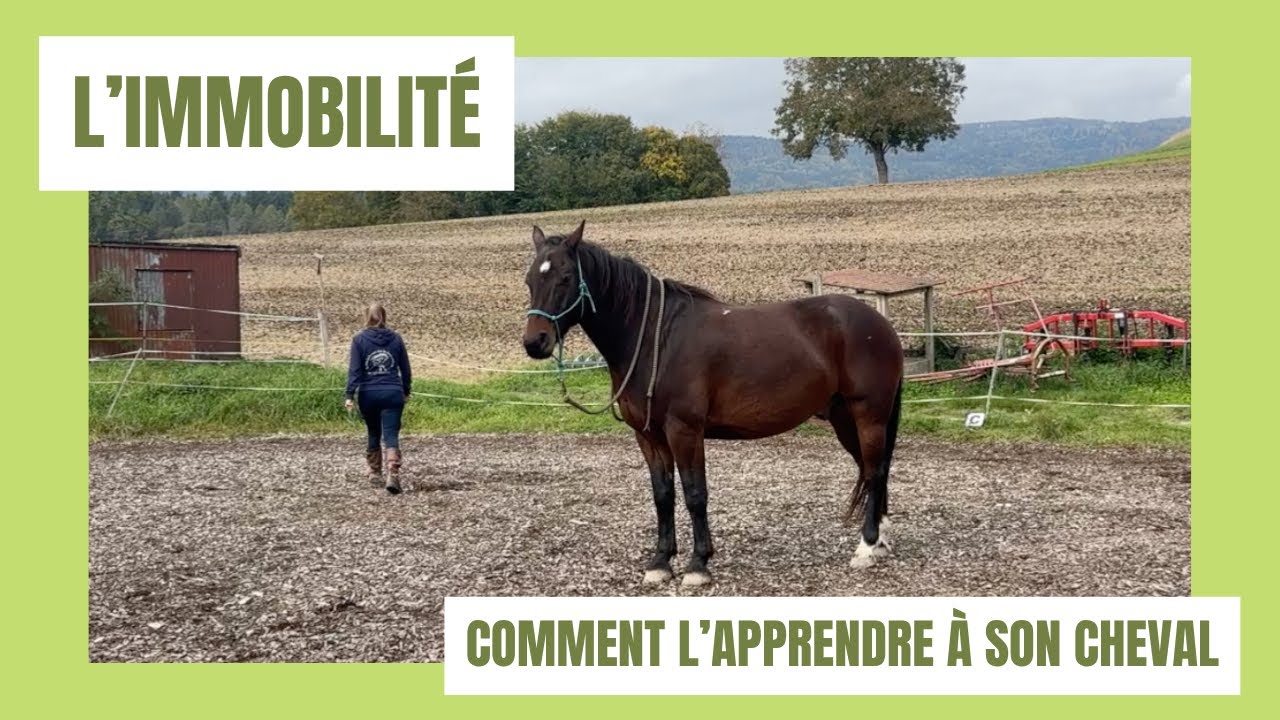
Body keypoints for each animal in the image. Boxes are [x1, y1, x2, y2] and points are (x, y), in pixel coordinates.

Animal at [522, 221, 904, 587]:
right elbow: (663, 495)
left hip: (868, 415)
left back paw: (867, 547)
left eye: (566, 277)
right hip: (844, 419)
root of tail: (881, 324)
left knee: (874, 470)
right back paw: (881, 542)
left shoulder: (684, 431)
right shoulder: (648, 436)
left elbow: (695, 494)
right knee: (872, 471)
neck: (656, 338)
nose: (535, 342)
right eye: (529, 280)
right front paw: (660, 562)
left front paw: (698, 565)